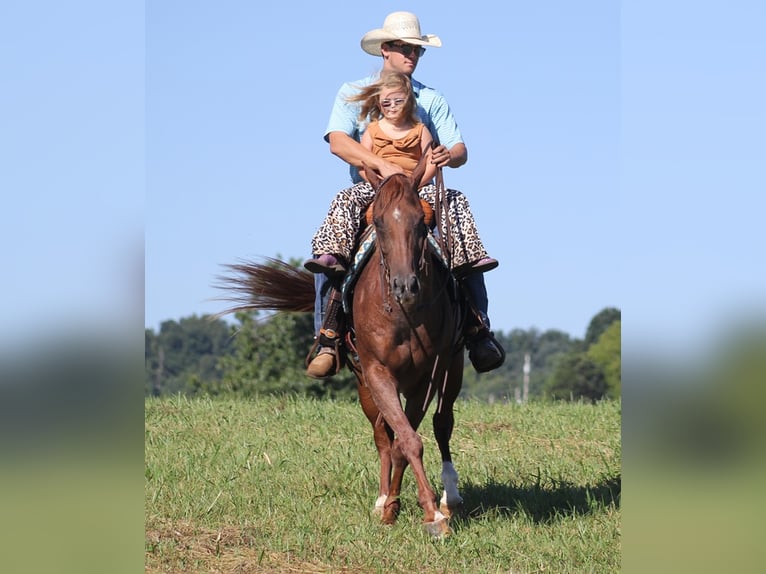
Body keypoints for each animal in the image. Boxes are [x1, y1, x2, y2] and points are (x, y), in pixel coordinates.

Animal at [216, 155, 468, 536]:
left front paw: (430, 511)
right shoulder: (376, 373)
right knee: (382, 434)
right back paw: (385, 498)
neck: (403, 312)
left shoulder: (426, 378)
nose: (405, 285)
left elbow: (410, 439)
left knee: (442, 423)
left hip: (452, 369)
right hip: (364, 382)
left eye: (422, 224)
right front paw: (401, 508)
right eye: (379, 222)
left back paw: (448, 497)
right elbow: (402, 439)